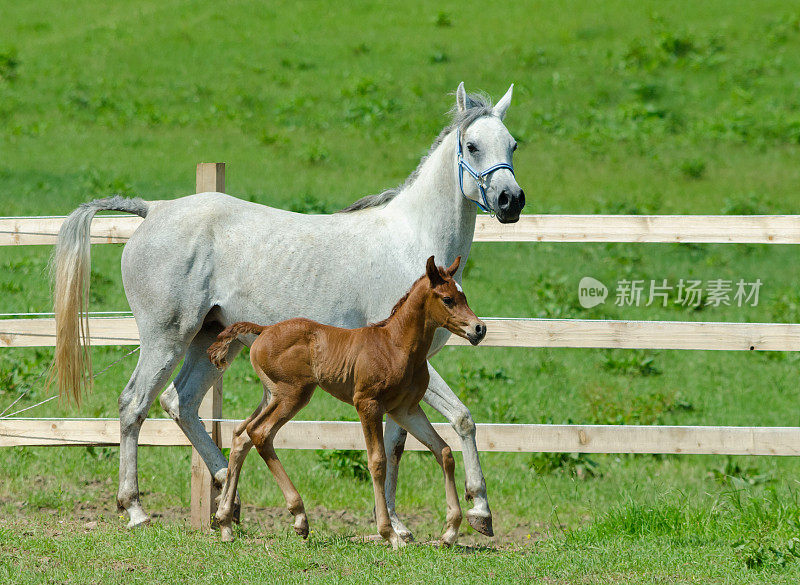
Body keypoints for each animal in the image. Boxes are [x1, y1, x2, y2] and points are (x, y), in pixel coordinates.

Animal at [206, 256, 484, 548]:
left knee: (241, 434)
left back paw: (225, 523)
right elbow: (378, 462)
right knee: (260, 433)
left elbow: (443, 452)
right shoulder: (367, 404)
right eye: (447, 299)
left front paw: (450, 531)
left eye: (463, 296)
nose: (479, 329)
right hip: (293, 395)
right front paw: (390, 534)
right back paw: (299, 517)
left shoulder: (405, 409)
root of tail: (265, 329)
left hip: (272, 395)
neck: (396, 346)